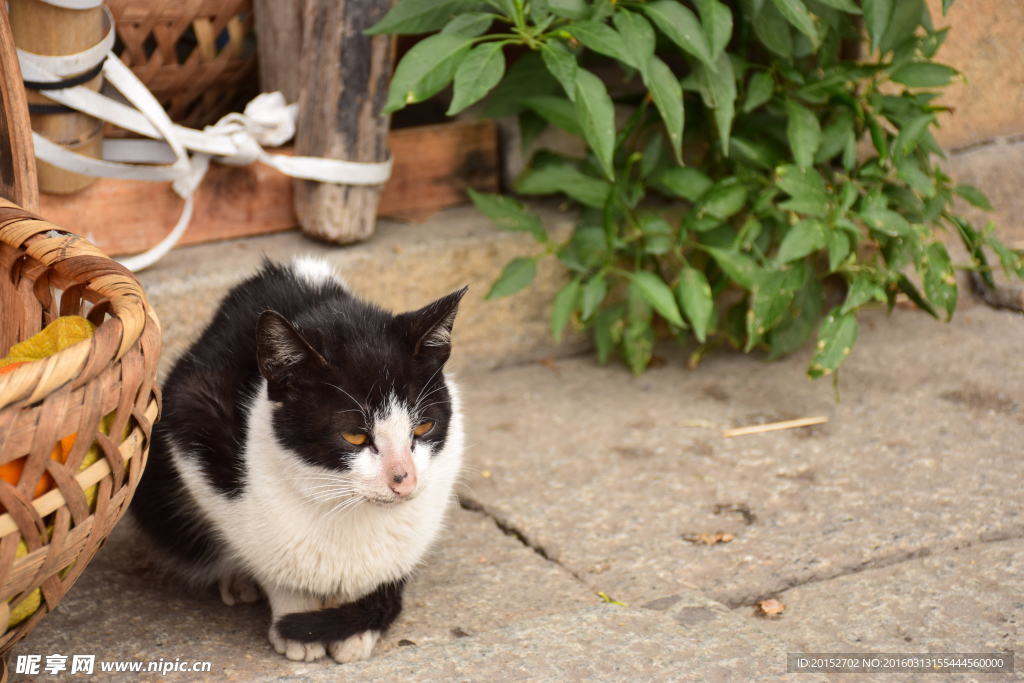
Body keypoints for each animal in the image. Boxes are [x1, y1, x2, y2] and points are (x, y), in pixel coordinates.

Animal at [130, 255, 466, 663]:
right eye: (354, 435)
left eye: (423, 427)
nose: (404, 479)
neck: (342, 506)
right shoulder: (193, 427)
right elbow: (270, 561)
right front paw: (296, 622)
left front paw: (354, 627)